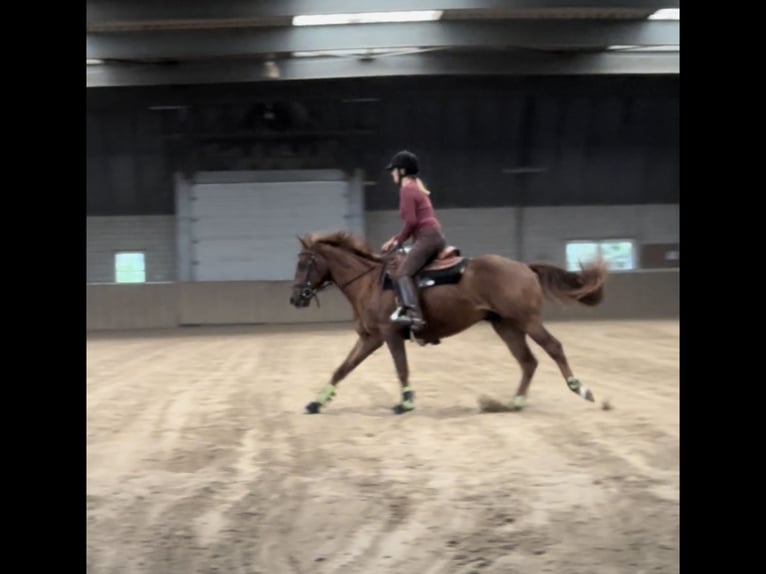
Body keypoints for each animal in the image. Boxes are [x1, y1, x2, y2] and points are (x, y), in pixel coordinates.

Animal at [292, 232, 608, 416]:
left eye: (304, 263)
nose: (295, 298)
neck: (369, 282)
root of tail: (524, 267)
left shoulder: (390, 335)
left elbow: (401, 368)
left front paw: (405, 402)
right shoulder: (370, 338)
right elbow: (342, 368)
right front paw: (317, 402)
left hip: (527, 321)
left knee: (554, 348)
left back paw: (582, 390)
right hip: (506, 325)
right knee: (528, 361)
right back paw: (516, 402)